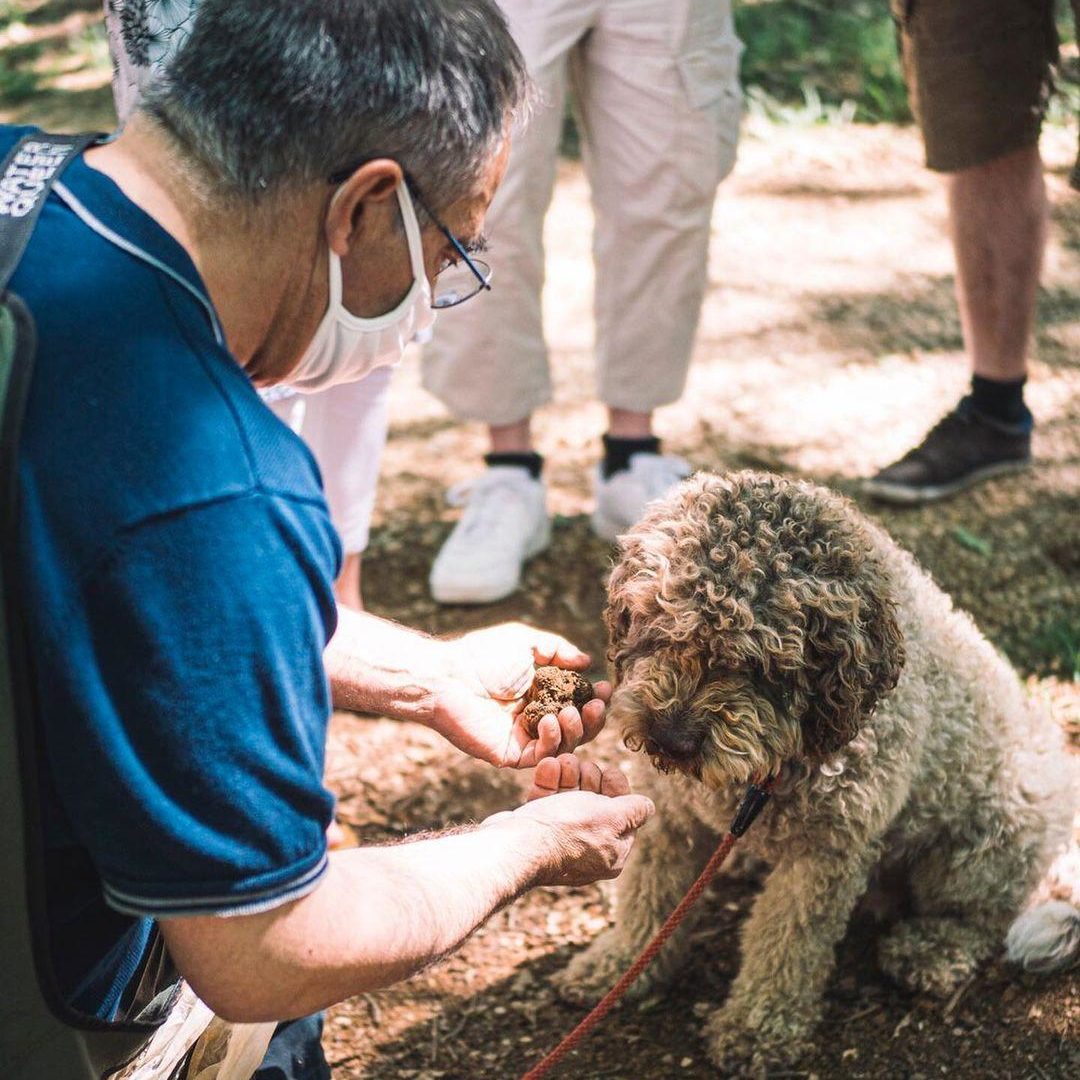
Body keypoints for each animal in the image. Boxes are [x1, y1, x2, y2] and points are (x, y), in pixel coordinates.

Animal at [557, 470, 1080, 1071]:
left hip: (987, 844)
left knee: (982, 918)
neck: (776, 761)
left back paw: (931, 949)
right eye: (659, 625)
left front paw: (756, 1027)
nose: (672, 741)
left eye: (757, 664)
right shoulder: (671, 817)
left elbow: (786, 942)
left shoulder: (825, 852)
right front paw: (616, 965)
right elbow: (649, 897)